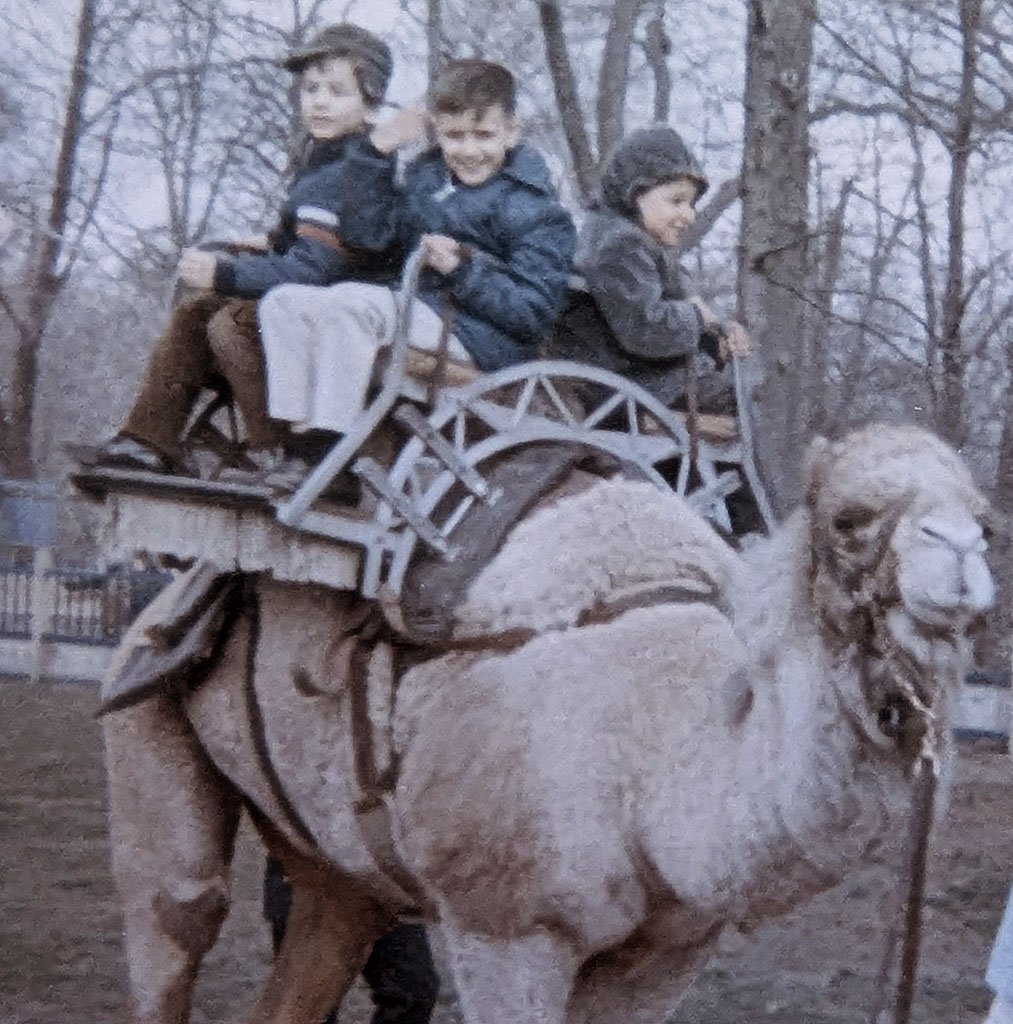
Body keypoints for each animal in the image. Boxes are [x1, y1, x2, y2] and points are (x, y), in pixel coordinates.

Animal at [101, 423, 994, 1024]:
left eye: (985, 518)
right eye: (848, 518)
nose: (960, 557)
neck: (655, 756)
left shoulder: (669, 953)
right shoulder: (506, 930)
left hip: (336, 869)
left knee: (324, 929)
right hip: (145, 724)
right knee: (181, 911)